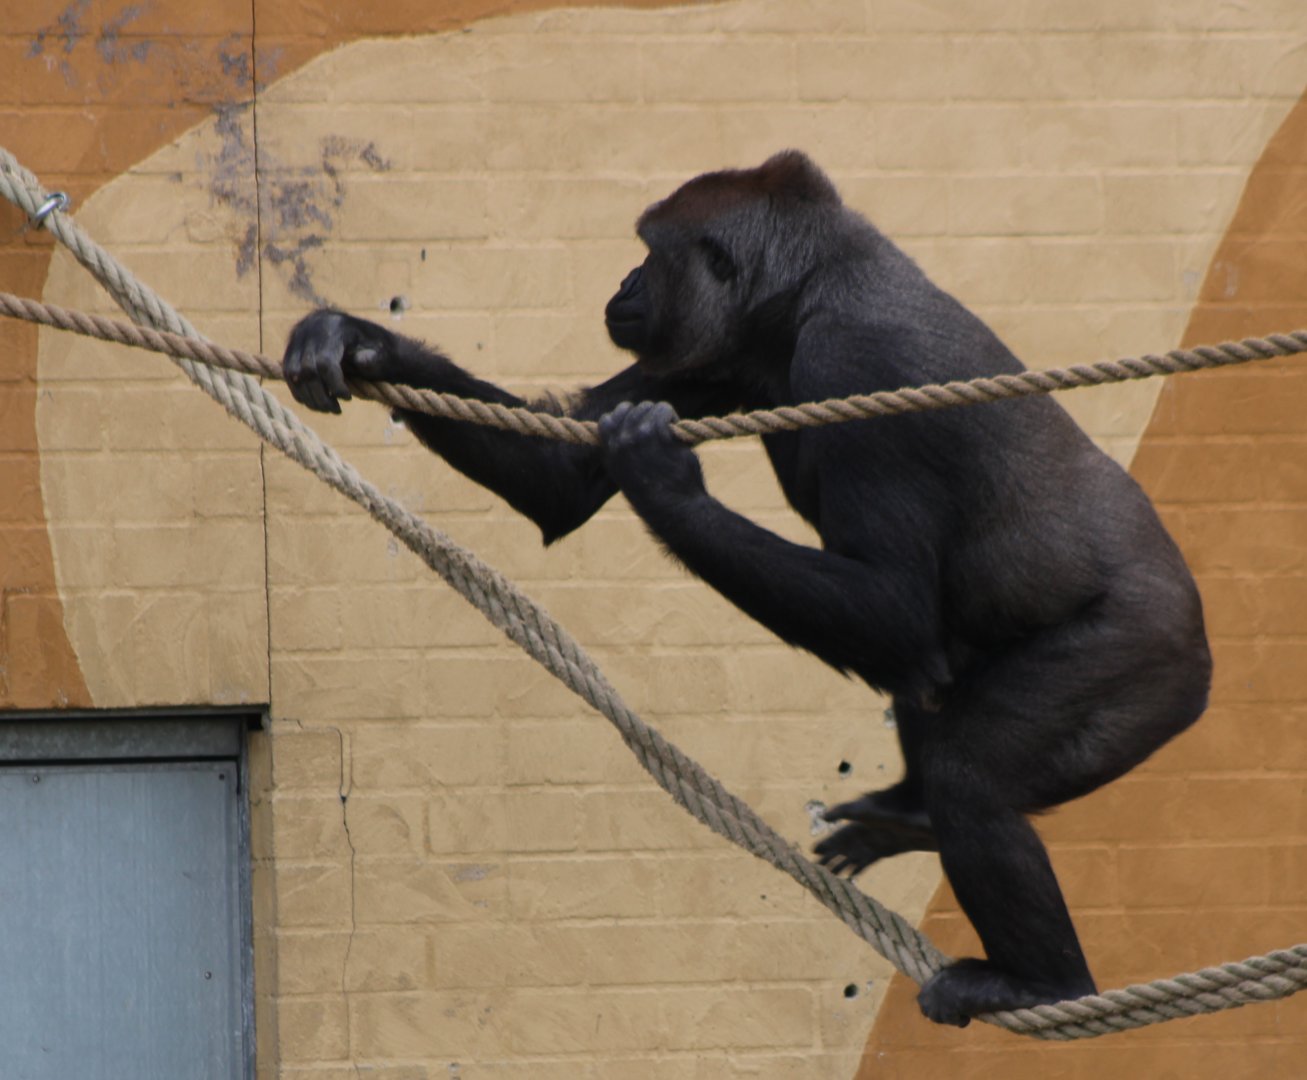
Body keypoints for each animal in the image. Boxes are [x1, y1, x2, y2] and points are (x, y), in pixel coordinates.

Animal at [283, 151, 1211, 1026]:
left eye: (648, 256)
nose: (621, 286)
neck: (804, 291)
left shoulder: (861, 364)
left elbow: (894, 607)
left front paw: (666, 484)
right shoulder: (721, 353)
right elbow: (558, 479)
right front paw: (357, 341)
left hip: (1148, 660)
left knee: (974, 771)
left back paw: (1037, 980)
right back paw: (911, 814)